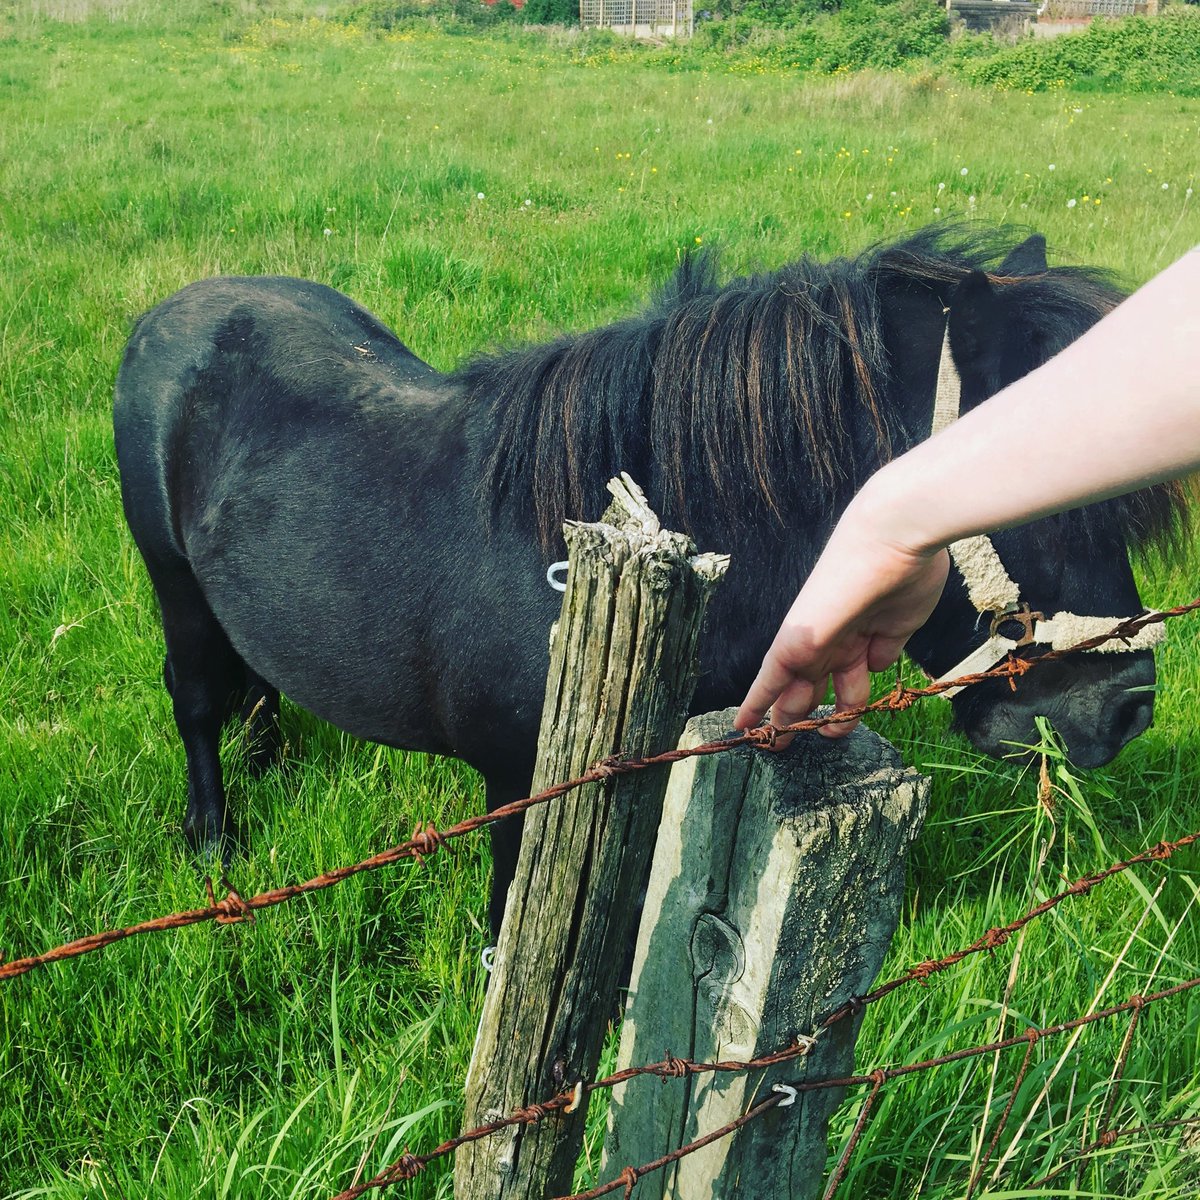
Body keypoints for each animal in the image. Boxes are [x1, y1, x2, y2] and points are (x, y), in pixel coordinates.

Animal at [113, 226, 1186, 936]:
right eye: (1040, 496)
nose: (1124, 708)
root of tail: (176, 310)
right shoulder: (521, 784)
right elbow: (515, 924)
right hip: (174, 586)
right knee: (196, 699)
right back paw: (213, 841)